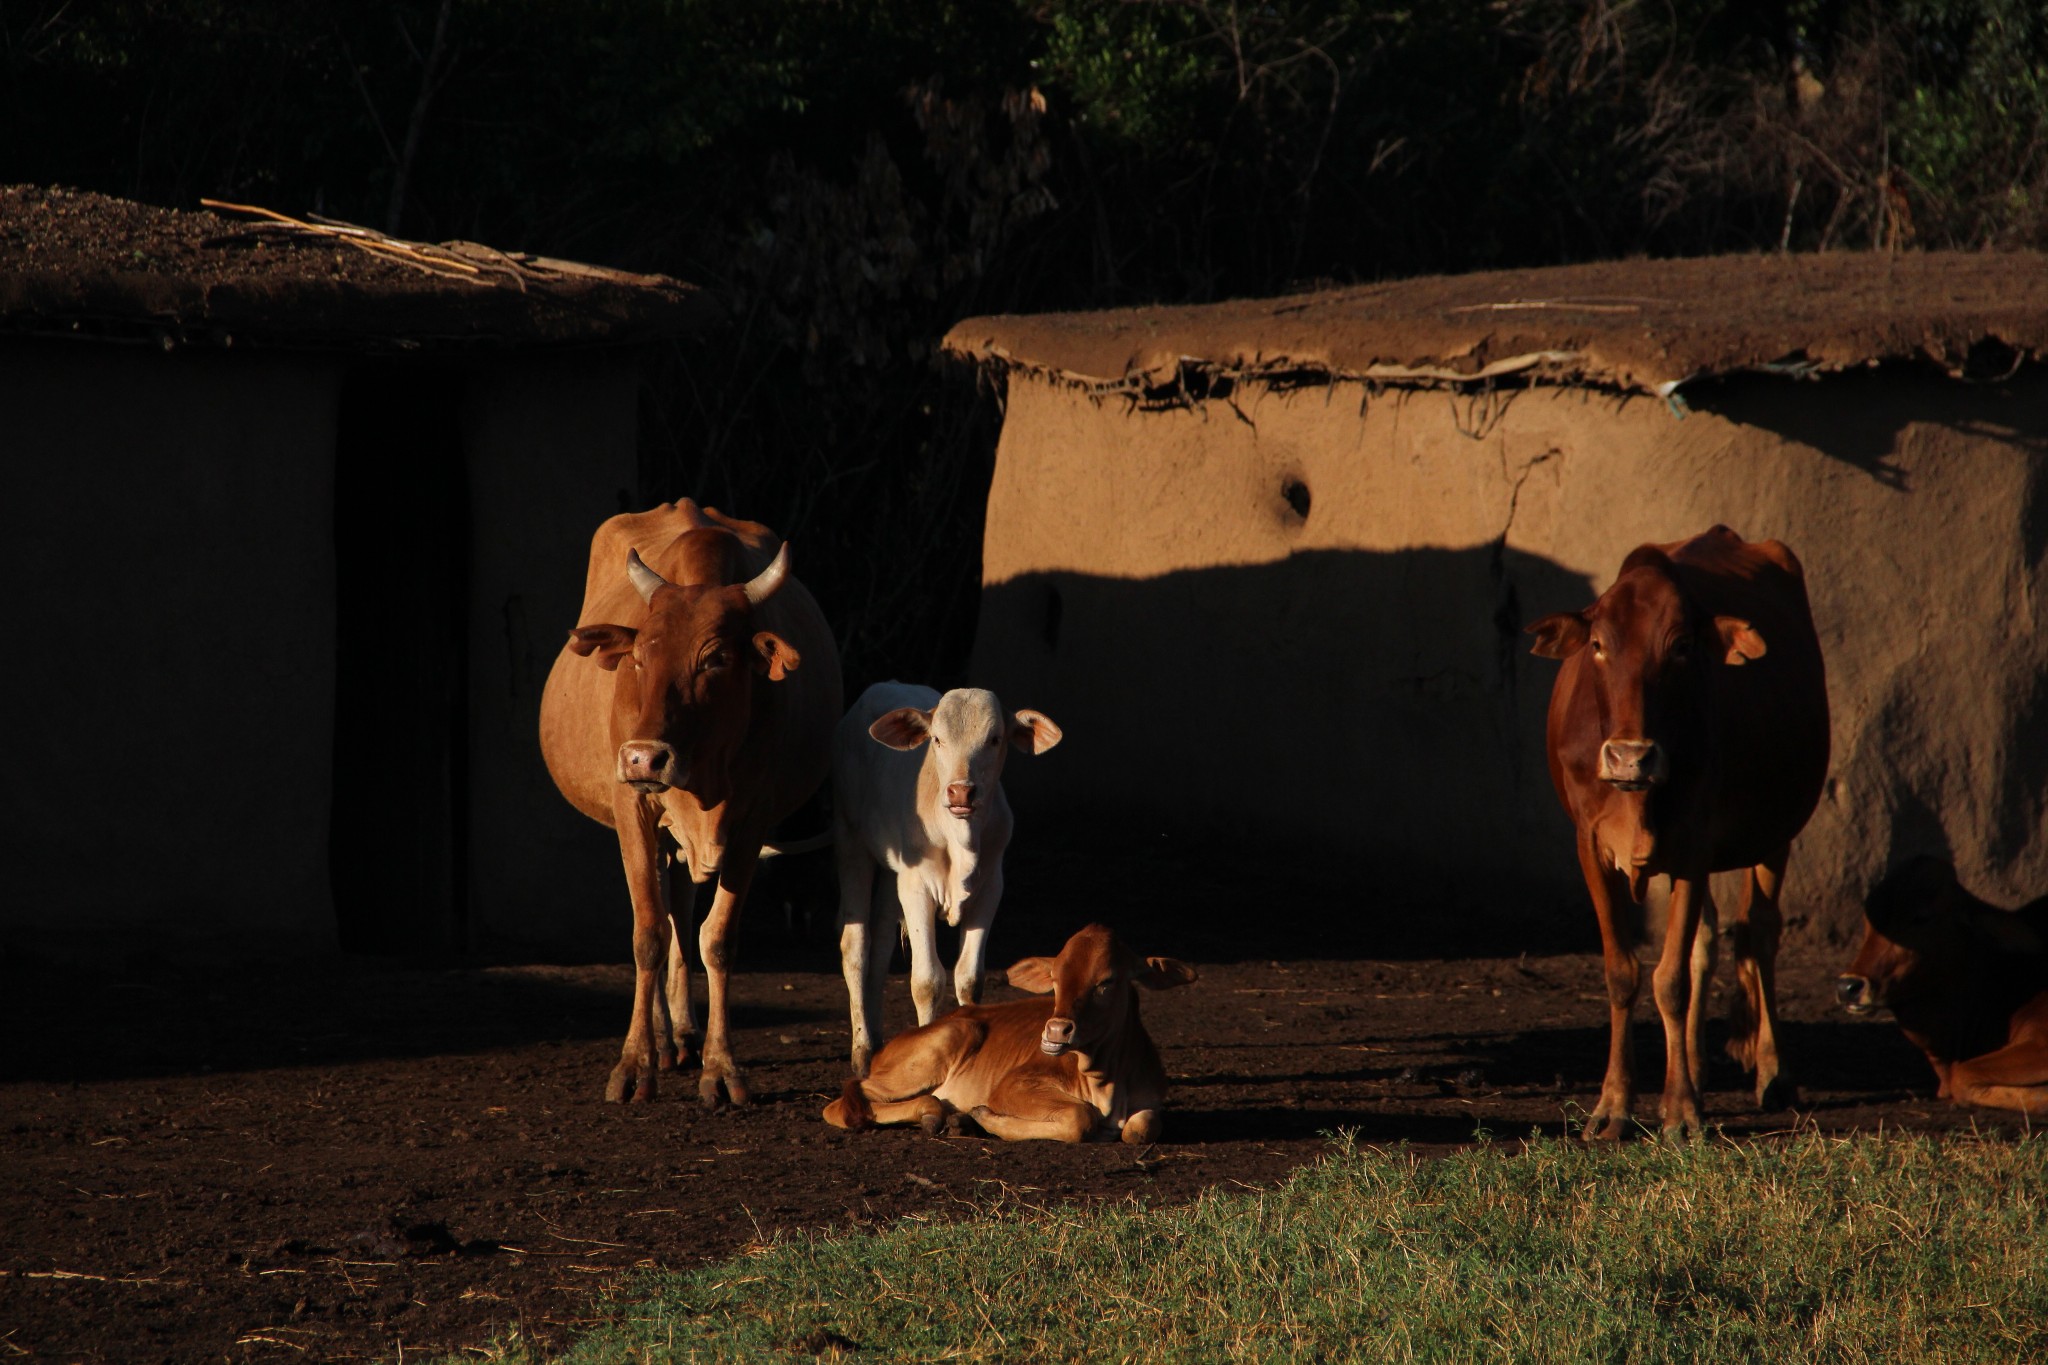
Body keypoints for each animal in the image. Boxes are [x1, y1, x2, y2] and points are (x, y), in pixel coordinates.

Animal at [540, 501, 843, 1113]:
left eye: (716, 658)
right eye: (638, 656)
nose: (643, 757)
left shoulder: (752, 819)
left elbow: (716, 940)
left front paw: (720, 1067)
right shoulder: (632, 811)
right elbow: (647, 935)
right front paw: (634, 1064)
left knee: (682, 916)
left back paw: (681, 1034)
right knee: (664, 916)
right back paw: (660, 1039)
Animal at [819, 929, 1196, 1146]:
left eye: (1107, 981)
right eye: (1055, 979)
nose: (1056, 1029)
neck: (1105, 1081)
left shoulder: (1150, 1099)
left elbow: (1140, 1129)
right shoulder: (1013, 1084)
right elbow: (1080, 1118)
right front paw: (986, 1118)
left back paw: (953, 1117)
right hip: (945, 1042)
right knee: (843, 1103)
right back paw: (935, 1111)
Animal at [831, 683, 1064, 1080]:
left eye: (994, 738)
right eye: (937, 739)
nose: (960, 792)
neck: (960, 840)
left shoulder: (990, 889)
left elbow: (969, 978)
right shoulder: (917, 889)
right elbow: (926, 981)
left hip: (893, 875)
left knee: (881, 941)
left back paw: (876, 1043)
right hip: (850, 840)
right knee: (856, 944)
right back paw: (861, 1051)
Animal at [1531, 527, 1835, 1146]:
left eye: (1680, 647)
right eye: (1597, 644)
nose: (1629, 756)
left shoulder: (1695, 845)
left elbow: (1668, 980)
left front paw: (1681, 1111)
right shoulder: (1590, 847)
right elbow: (1623, 972)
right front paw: (1613, 1106)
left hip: (1778, 832)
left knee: (1757, 934)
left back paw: (1772, 1073)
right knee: (1706, 943)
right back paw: (1692, 1062)